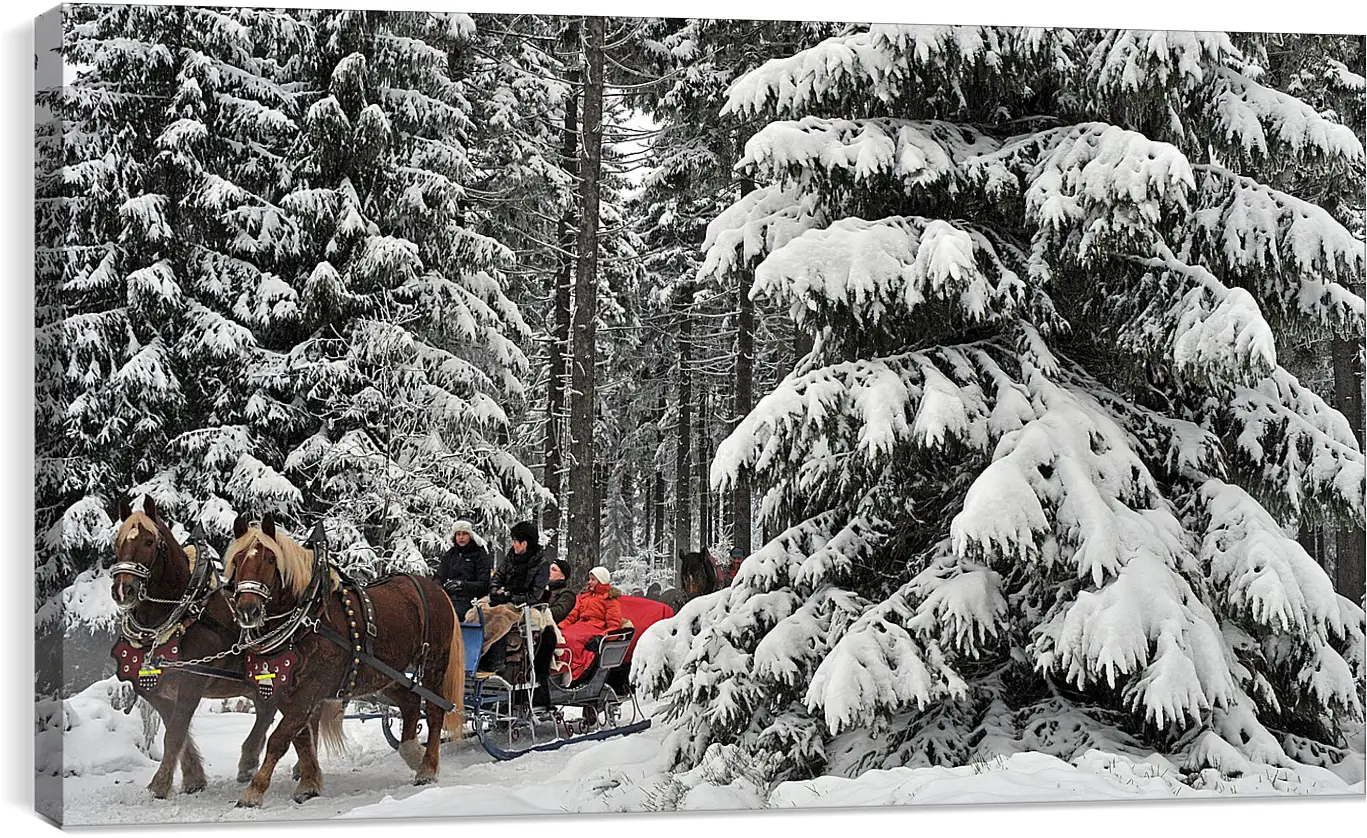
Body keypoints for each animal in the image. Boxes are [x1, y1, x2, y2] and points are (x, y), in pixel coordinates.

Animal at [109, 497, 280, 798]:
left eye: (149, 542)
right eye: (117, 541)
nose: (122, 589)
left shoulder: (192, 681)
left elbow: (175, 732)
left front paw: (160, 785)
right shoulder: (154, 689)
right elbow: (176, 730)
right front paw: (193, 778)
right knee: (268, 711)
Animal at [221, 514, 462, 809]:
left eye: (269, 559)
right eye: (237, 559)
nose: (247, 610)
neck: (308, 620)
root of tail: (436, 589)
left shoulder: (308, 691)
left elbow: (279, 739)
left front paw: (254, 792)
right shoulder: (288, 693)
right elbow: (301, 738)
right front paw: (309, 783)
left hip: (434, 664)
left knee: (436, 711)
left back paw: (427, 767)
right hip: (388, 674)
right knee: (410, 702)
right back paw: (413, 754)